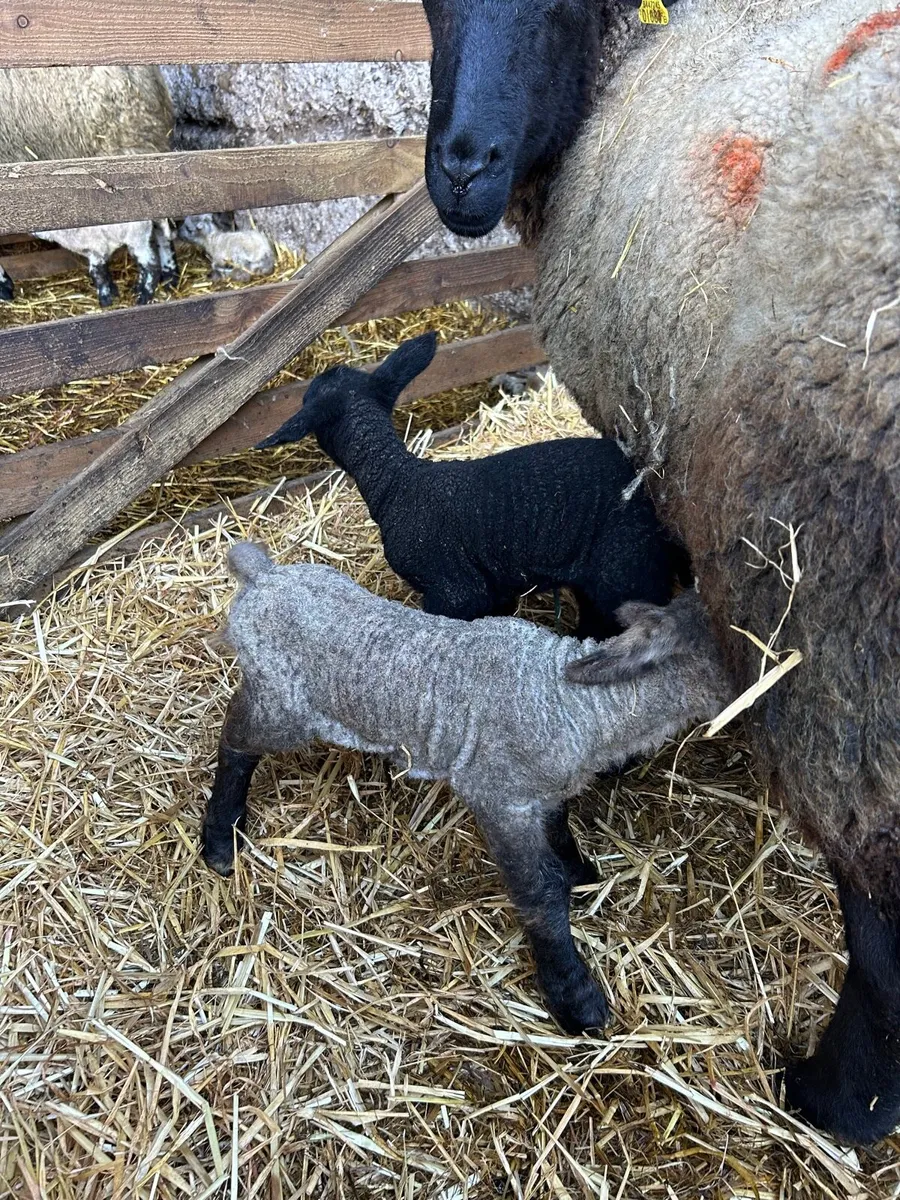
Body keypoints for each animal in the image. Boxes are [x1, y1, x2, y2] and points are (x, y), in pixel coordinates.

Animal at [0, 66, 274, 305]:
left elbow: (98, 268)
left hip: (125, 148)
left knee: (152, 239)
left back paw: (150, 289)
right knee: (161, 223)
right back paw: (169, 277)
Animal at [202, 541, 732, 1033]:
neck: (570, 702)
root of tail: (264, 576)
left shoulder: (540, 791)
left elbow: (559, 828)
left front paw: (579, 871)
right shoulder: (498, 798)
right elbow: (539, 894)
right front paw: (574, 997)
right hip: (279, 704)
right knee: (234, 741)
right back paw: (219, 839)